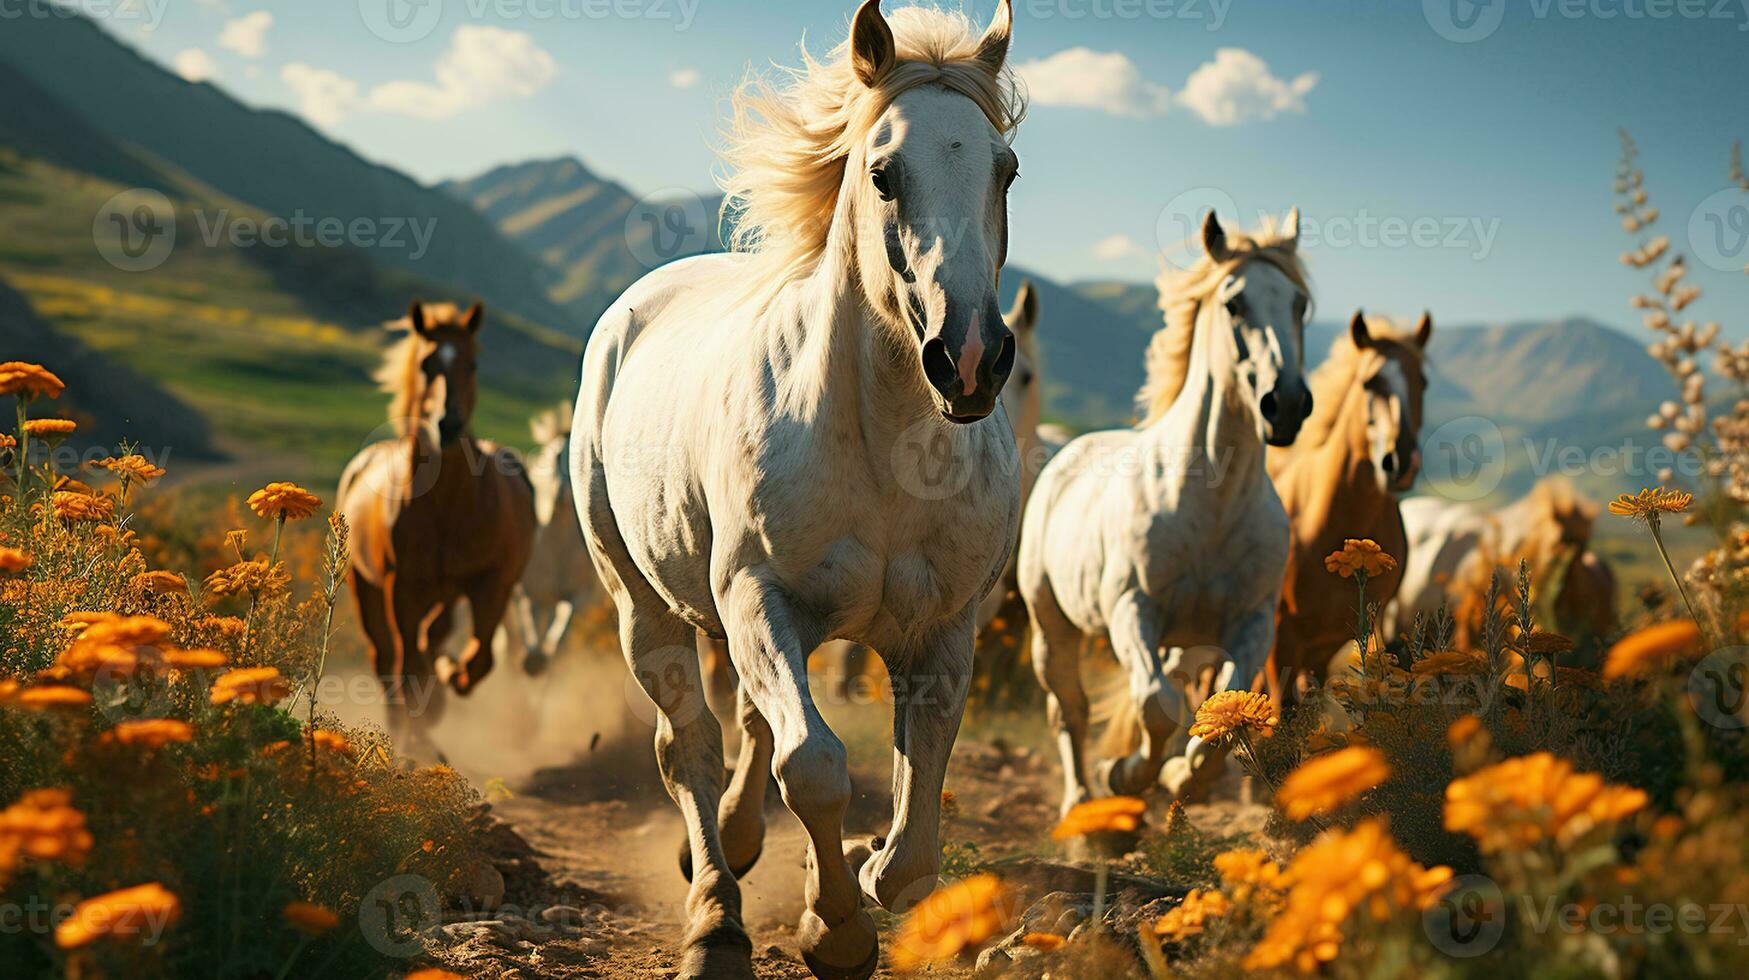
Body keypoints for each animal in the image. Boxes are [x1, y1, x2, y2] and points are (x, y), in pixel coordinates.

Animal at [337, 302, 535, 763]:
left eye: (472, 363)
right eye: (427, 364)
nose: (448, 424)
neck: (449, 504)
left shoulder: (492, 583)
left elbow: (479, 660)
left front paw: (447, 678)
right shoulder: (402, 590)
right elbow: (408, 668)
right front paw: (419, 744)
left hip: (447, 594)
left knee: (434, 640)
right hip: (366, 587)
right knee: (387, 658)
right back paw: (403, 732)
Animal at [510, 404, 598, 672]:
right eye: (555, 457)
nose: (561, 495)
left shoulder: (575, 595)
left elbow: (559, 638)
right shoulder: (527, 593)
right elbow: (530, 630)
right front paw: (531, 661)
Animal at [566, 3, 1028, 973]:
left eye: (1004, 169)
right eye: (883, 173)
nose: (969, 359)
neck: (885, 453)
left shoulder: (941, 632)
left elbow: (915, 841)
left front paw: (860, 870)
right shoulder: (758, 600)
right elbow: (812, 767)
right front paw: (834, 929)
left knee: (745, 727)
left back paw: (740, 851)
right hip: (645, 609)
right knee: (691, 749)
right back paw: (714, 919)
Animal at [1014, 210, 1315, 815]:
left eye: (1299, 304)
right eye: (1235, 303)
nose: (1287, 405)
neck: (1211, 501)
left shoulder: (1251, 621)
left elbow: (1221, 714)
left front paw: (1180, 778)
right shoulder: (1133, 607)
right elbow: (1156, 704)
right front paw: (1124, 775)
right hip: (1051, 627)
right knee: (1070, 708)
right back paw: (1081, 799)